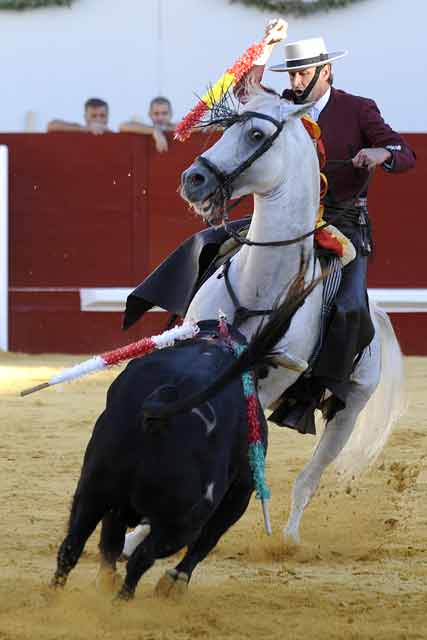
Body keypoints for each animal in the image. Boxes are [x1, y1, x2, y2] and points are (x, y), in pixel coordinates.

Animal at [51, 266, 318, 600]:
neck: (216, 345)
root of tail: (160, 409)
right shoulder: (239, 491)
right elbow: (207, 540)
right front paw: (174, 582)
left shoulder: (111, 504)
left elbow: (109, 544)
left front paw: (105, 581)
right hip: (183, 518)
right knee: (145, 558)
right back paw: (122, 602)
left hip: (93, 489)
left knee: (71, 546)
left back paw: (54, 598)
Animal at [123, 90, 404, 556]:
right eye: (226, 126)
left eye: (256, 134)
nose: (193, 178)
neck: (260, 286)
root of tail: (378, 317)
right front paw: (138, 529)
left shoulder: (270, 378)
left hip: (349, 406)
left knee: (309, 477)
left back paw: (287, 539)